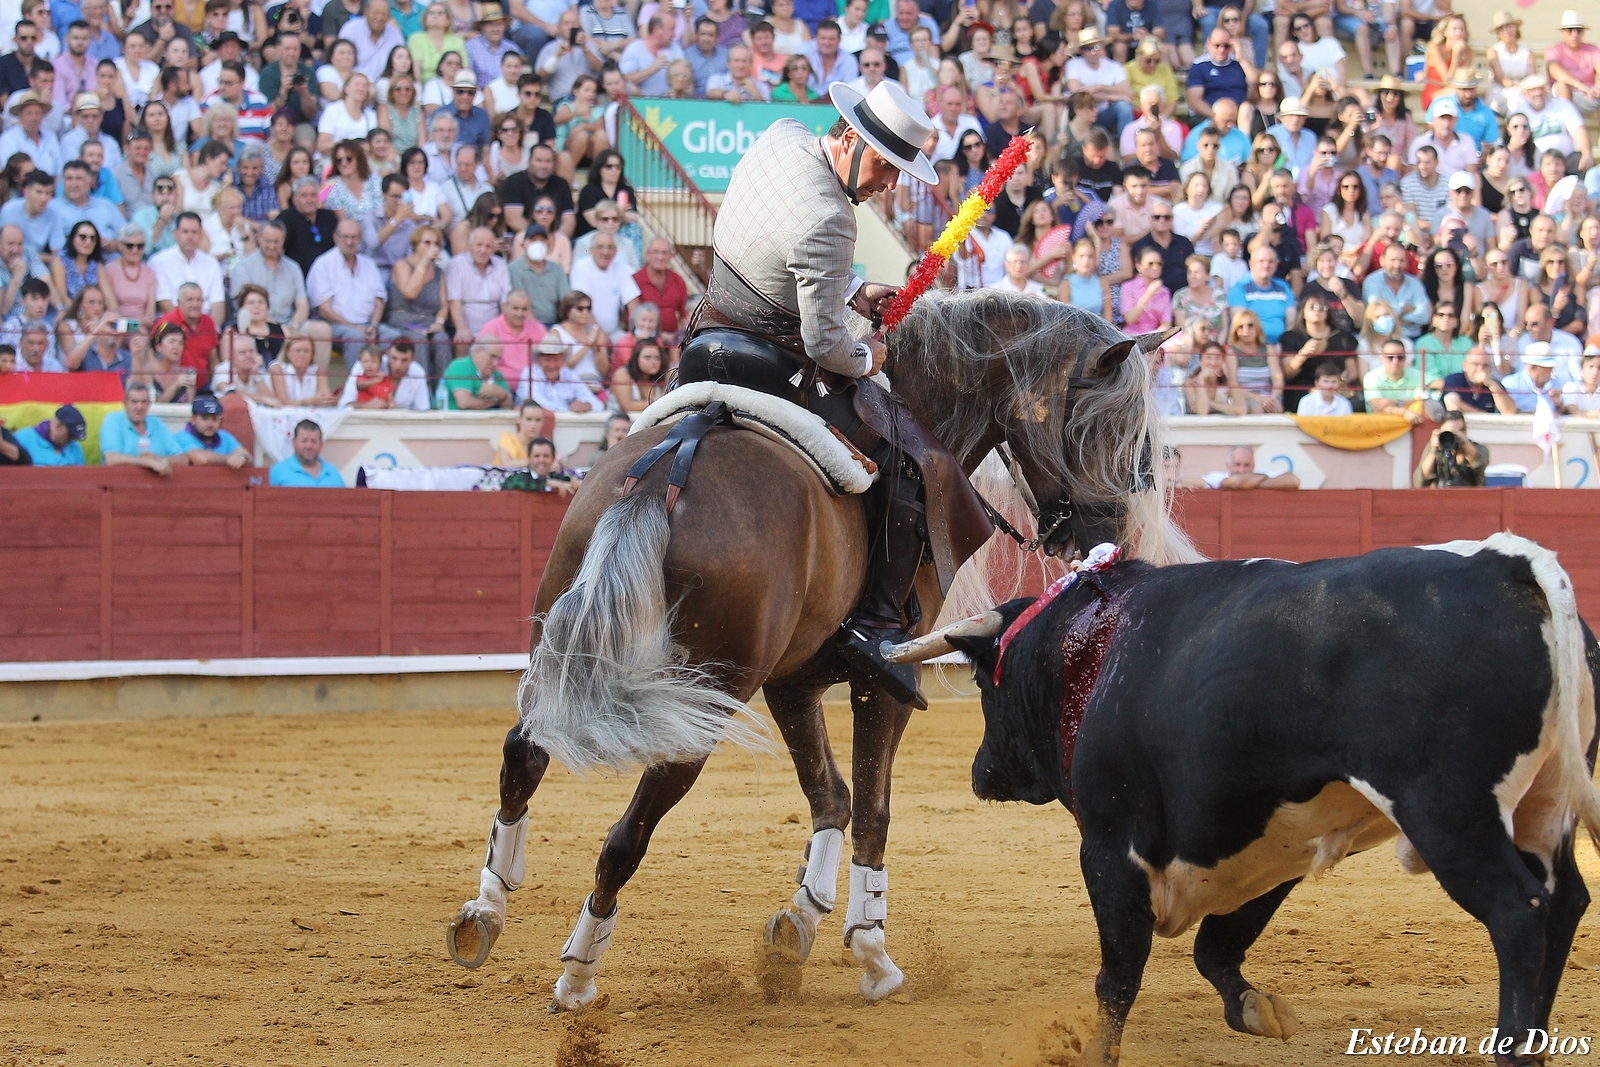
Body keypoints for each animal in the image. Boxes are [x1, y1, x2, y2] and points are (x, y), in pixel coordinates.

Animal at [444, 294, 1196, 1011]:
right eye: (1110, 430)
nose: (1109, 540)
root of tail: (670, 474)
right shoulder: (887, 679)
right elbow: (871, 806)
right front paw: (872, 951)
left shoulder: (794, 680)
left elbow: (829, 793)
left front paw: (798, 924)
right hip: (705, 696)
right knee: (626, 831)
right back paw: (576, 972)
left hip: (565, 645)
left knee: (524, 750)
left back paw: (485, 911)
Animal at [928, 537, 1600, 1062]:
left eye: (987, 681)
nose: (981, 773)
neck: (1091, 650)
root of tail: (1505, 562)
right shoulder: (1273, 845)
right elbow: (1216, 945)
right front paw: (1258, 1010)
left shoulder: (1110, 847)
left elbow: (1119, 974)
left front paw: (1095, 1053)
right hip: (1541, 809)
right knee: (1566, 902)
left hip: (1451, 815)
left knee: (1518, 912)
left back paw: (1512, 1052)